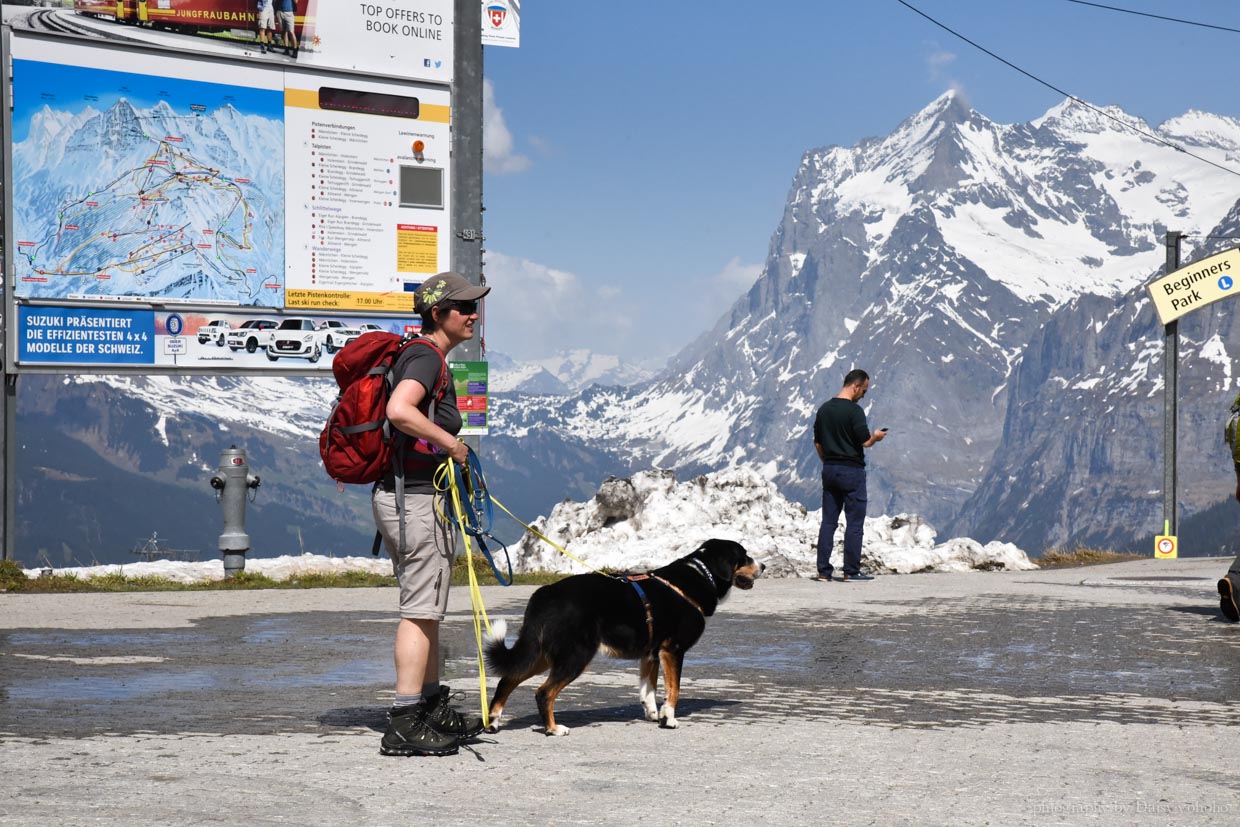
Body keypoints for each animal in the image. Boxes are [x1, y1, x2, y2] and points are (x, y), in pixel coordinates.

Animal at [486, 543, 763, 738]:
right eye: (745, 556)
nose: (763, 567)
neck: (700, 576)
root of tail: (546, 593)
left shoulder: (652, 654)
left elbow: (648, 690)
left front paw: (654, 715)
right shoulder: (673, 650)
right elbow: (673, 690)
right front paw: (669, 719)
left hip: (542, 654)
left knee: (506, 680)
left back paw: (493, 722)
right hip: (575, 655)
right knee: (544, 693)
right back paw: (553, 729)